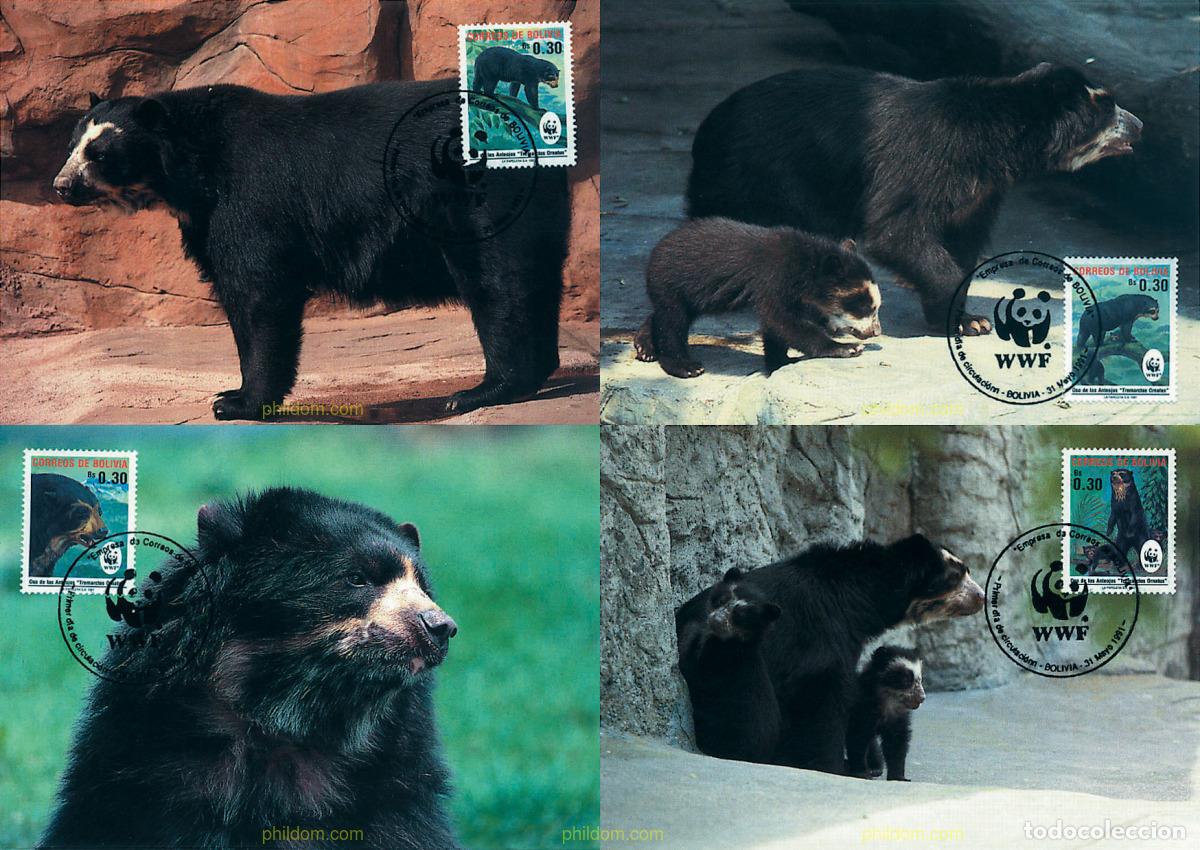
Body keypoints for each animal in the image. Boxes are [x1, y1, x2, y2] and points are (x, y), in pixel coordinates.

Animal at [52, 83, 569, 420]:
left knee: (496, 280)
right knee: (533, 276)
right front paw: (231, 390)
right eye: (72, 144)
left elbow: (258, 290)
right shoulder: (203, 217)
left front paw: (236, 402)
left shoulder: (251, 198)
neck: (191, 170)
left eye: (99, 153)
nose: (61, 186)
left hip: (477, 192)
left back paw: (482, 390)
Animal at [633, 218, 881, 378]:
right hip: (672, 281)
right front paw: (848, 348)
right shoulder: (774, 278)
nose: (875, 332)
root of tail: (657, 247)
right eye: (865, 306)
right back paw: (685, 366)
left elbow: (777, 326)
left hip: (694, 294)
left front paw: (780, 362)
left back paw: (645, 347)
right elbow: (782, 321)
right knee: (672, 321)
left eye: (875, 306)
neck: (805, 268)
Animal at [686, 63, 1142, 336]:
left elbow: (960, 241)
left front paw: (961, 318)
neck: (996, 143)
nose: (1139, 124)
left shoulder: (980, 193)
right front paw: (970, 321)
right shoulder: (926, 160)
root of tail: (707, 127)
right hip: (767, 174)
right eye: (1107, 107)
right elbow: (898, 231)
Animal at [734, 535, 983, 774]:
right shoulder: (822, 638)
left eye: (967, 571)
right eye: (955, 576)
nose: (981, 596)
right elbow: (827, 704)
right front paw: (832, 766)